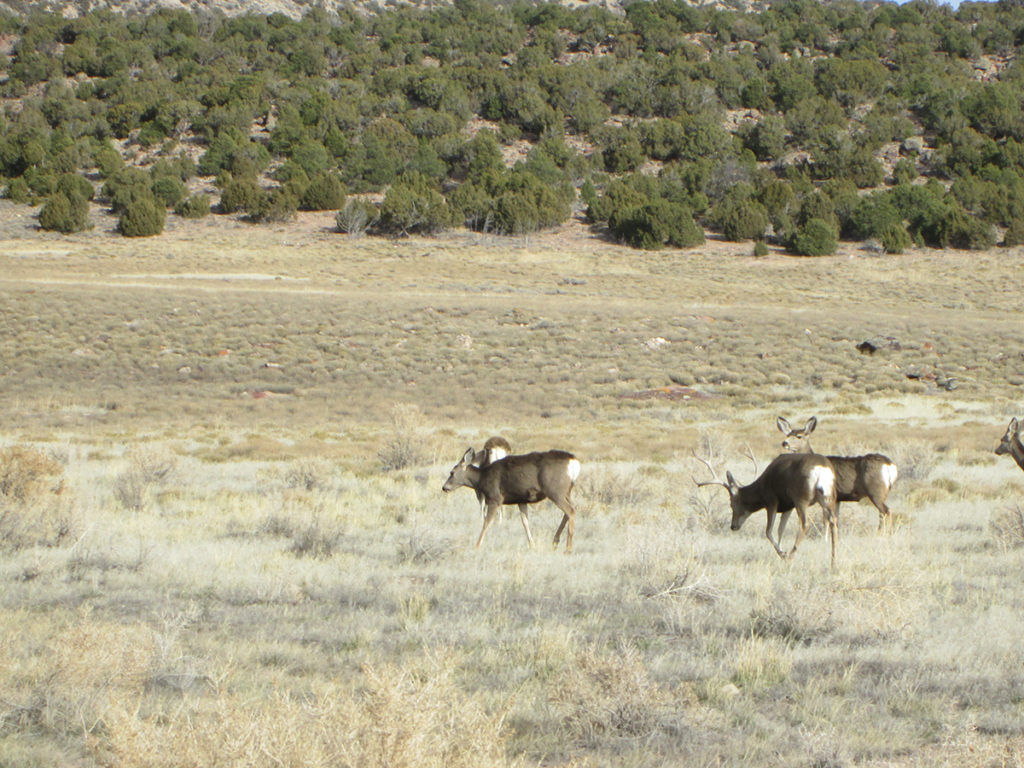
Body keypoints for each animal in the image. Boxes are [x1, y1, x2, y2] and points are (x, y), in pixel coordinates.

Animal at [442, 448, 581, 553]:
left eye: (452, 472)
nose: (444, 487)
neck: (482, 478)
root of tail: (574, 463)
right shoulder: (521, 499)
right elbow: (525, 522)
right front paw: (532, 545)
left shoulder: (495, 498)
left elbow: (487, 522)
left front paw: (476, 546)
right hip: (566, 491)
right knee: (573, 508)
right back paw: (555, 542)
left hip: (555, 490)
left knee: (570, 510)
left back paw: (568, 548)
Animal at [693, 450, 839, 567]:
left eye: (732, 504)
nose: (733, 526)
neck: (761, 487)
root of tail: (822, 469)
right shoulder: (788, 506)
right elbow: (780, 530)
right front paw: (781, 551)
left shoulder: (771, 501)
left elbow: (768, 531)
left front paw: (783, 554)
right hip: (828, 497)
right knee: (833, 521)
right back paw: (833, 560)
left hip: (801, 498)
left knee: (805, 523)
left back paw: (791, 556)